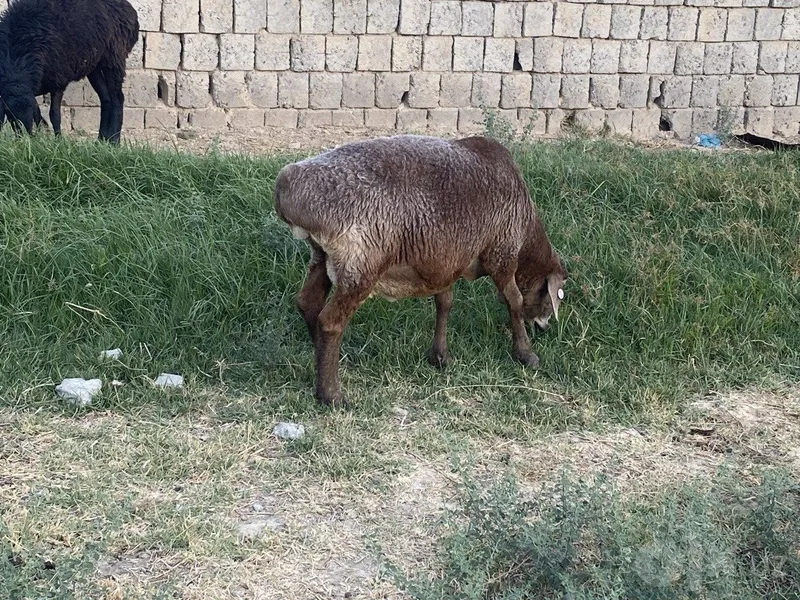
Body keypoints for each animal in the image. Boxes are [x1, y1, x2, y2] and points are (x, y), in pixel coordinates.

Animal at [0, 0, 139, 144]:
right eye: (9, 114)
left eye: (29, 112)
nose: (24, 139)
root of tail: (130, 10)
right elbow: (41, 115)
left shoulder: (58, 81)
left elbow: (54, 114)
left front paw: (58, 140)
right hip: (95, 66)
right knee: (106, 99)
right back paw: (101, 140)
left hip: (114, 58)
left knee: (117, 99)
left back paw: (114, 141)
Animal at [275, 134, 568, 407]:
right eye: (550, 296)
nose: (544, 327)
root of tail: (288, 187)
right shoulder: (502, 253)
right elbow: (514, 300)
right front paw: (526, 354)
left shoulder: (445, 263)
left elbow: (444, 302)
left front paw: (440, 356)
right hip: (361, 264)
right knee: (330, 322)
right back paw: (331, 395)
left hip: (322, 256)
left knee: (308, 302)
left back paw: (324, 365)